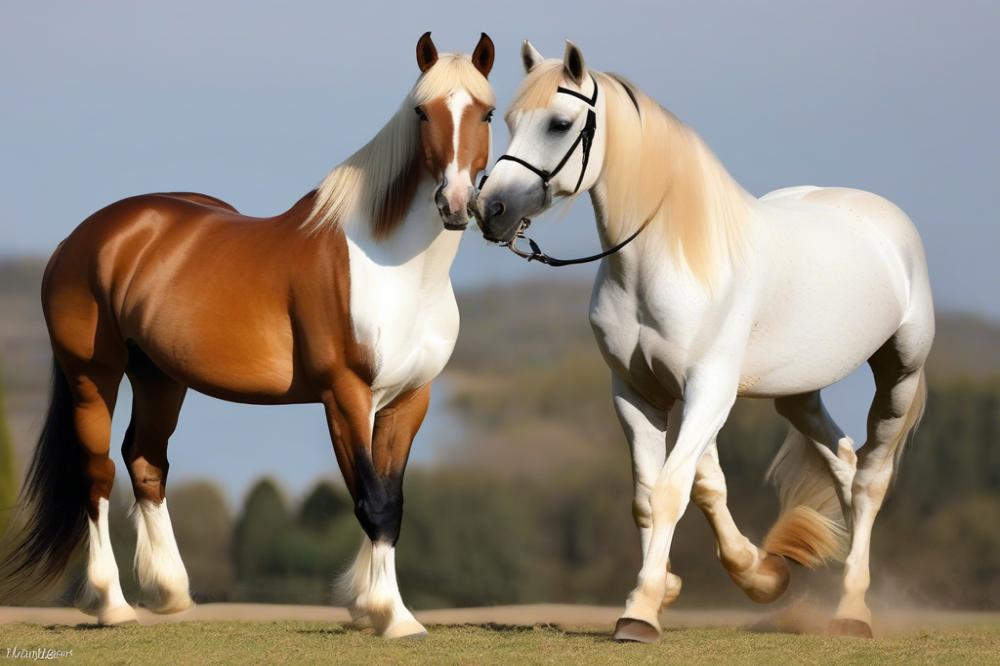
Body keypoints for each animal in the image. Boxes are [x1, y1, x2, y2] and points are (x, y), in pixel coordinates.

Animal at [0, 32, 496, 640]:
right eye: (423, 112)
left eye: (488, 112)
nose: (455, 203)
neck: (393, 267)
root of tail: (81, 237)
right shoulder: (345, 395)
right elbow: (371, 501)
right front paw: (392, 617)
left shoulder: (411, 399)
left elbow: (391, 501)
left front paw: (372, 608)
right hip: (93, 375)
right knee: (98, 473)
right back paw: (113, 604)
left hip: (160, 376)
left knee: (146, 460)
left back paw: (169, 593)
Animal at [476, 40, 928, 640]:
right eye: (508, 121)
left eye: (560, 123)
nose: (490, 210)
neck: (666, 261)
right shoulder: (637, 393)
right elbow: (662, 495)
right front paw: (750, 576)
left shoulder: (709, 391)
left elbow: (673, 490)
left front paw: (642, 610)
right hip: (797, 395)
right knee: (844, 464)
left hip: (900, 374)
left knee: (871, 480)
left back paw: (852, 610)